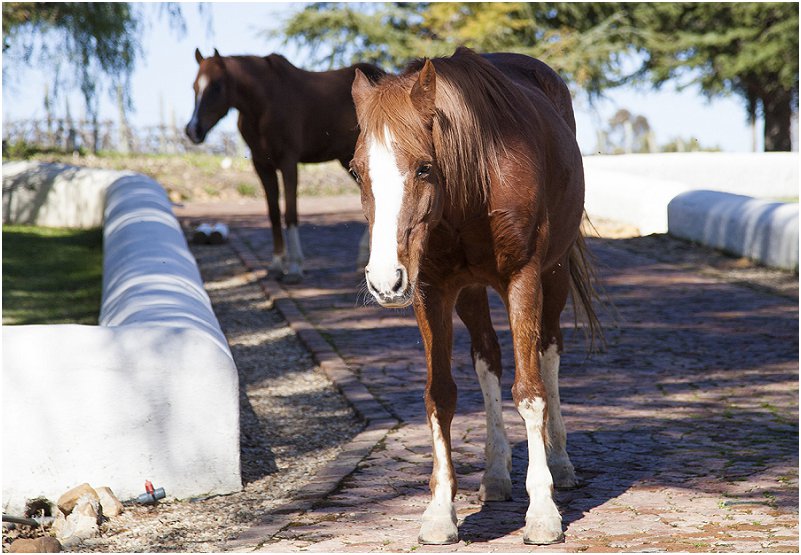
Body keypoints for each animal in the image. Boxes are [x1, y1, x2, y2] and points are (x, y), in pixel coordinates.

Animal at [189, 48, 386, 282]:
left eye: (217, 85)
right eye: (194, 86)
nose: (192, 130)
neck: (265, 103)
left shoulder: (288, 162)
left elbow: (290, 213)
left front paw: (294, 267)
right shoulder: (262, 166)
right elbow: (274, 214)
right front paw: (276, 265)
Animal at [350, 46, 600, 544]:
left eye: (424, 167)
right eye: (356, 171)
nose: (385, 281)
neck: (475, 185)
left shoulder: (524, 279)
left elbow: (530, 392)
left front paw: (542, 512)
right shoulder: (431, 291)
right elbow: (440, 395)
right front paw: (439, 512)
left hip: (555, 275)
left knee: (548, 352)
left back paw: (560, 462)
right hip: (469, 294)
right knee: (488, 360)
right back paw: (496, 473)